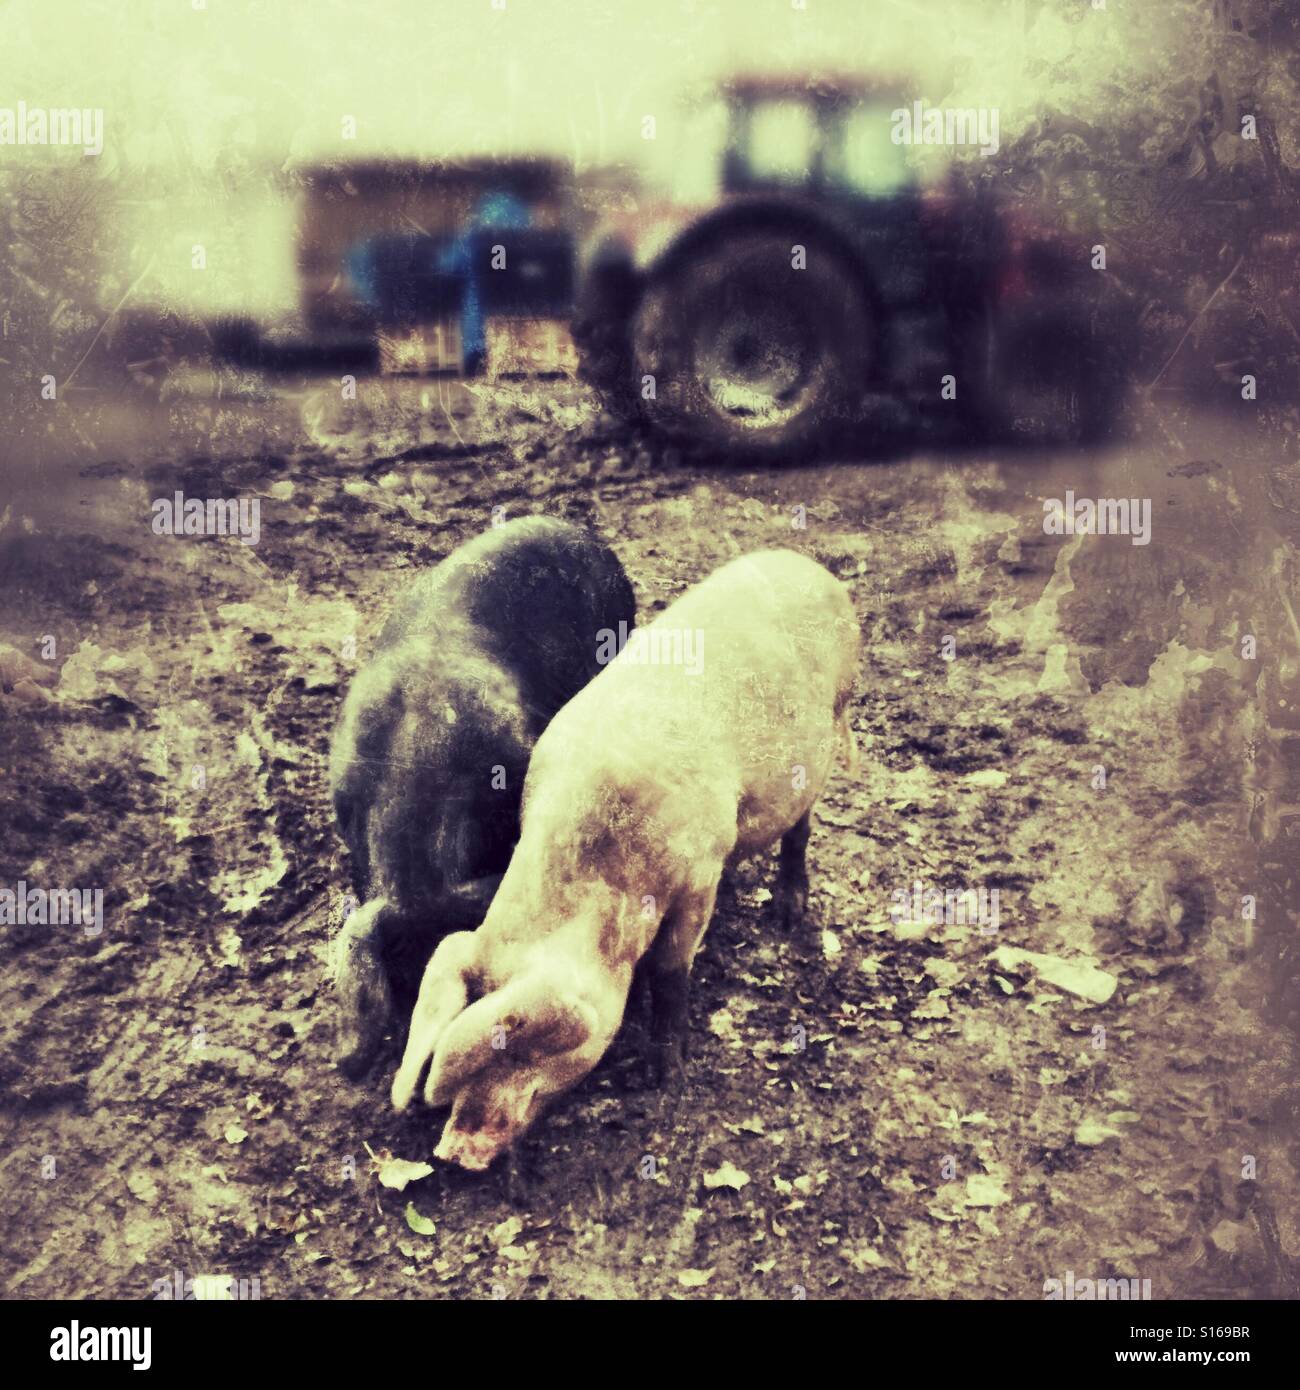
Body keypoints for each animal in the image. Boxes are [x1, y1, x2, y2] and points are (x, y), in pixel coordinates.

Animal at [391, 548, 861, 1170]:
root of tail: (814, 568)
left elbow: (670, 969)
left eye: (520, 1049)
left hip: (827, 736)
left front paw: (661, 1076)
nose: (452, 1150)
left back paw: (786, 914)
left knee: (801, 830)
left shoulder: (700, 870)